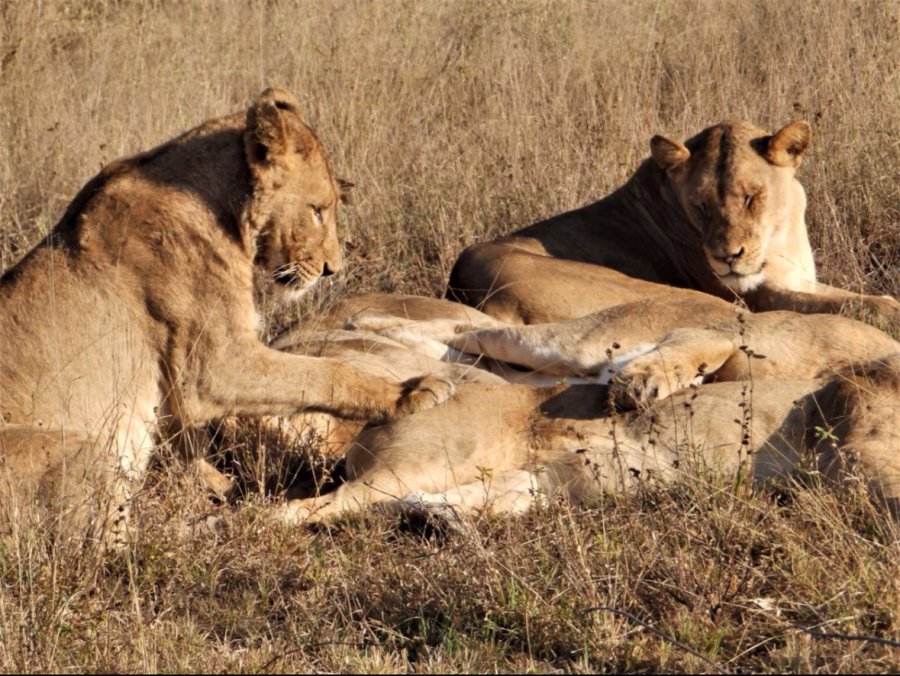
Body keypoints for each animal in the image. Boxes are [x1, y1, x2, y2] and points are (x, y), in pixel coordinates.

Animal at [0, 88, 453, 544]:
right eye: (318, 209)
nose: (332, 269)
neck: (223, 209)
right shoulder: (214, 367)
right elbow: (325, 373)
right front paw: (408, 393)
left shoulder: (180, 383)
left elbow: (188, 441)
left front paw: (222, 485)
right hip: (86, 448)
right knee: (112, 544)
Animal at [447, 120, 900, 326]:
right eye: (701, 206)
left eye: (750, 197)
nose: (726, 257)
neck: (779, 234)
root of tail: (463, 285)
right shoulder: (762, 296)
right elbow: (855, 304)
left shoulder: (800, 281)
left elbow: (854, 296)